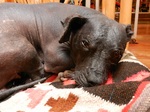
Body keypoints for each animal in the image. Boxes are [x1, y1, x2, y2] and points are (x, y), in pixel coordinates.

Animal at [0, 2, 133, 90]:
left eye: (117, 54)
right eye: (84, 43)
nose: (94, 80)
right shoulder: (54, 57)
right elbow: (69, 61)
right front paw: (70, 72)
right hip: (25, 49)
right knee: (39, 74)